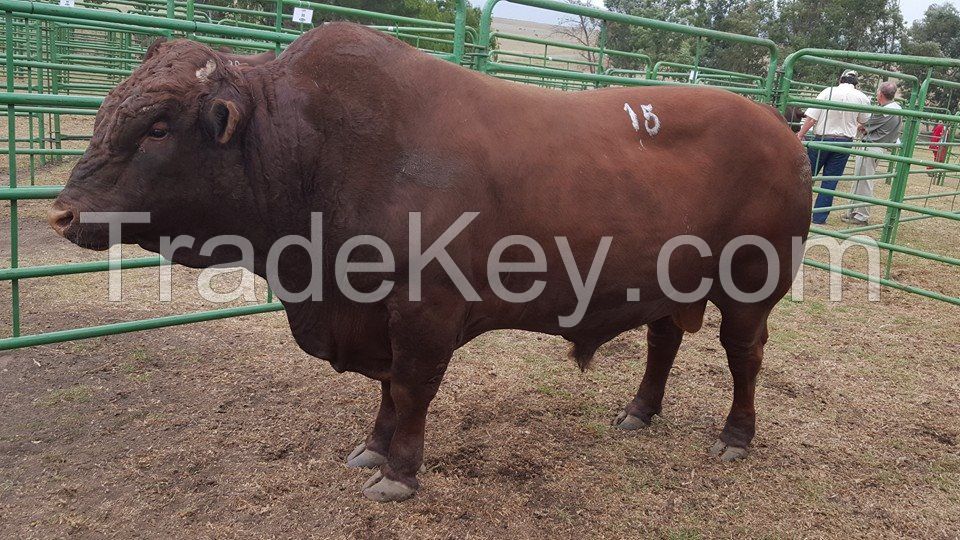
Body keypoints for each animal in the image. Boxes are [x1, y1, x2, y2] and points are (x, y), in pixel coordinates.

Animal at [47, 22, 808, 502]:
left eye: (158, 126)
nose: (63, 213)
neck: (316, 148)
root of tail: (777, 125)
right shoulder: (372, 310)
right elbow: (386, 391)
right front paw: (374, 448)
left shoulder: (424, 311)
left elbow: (412, 389)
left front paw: (400, 472)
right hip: (669, 281)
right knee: (663, 341)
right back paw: (639, 411)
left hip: (750, 285)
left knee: (744, 354)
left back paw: (736, 436)